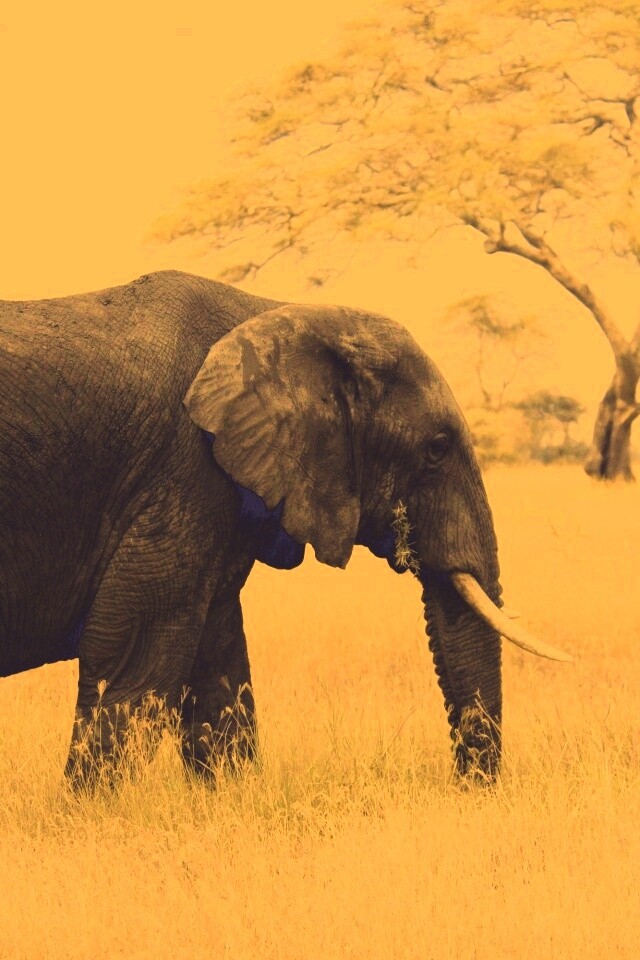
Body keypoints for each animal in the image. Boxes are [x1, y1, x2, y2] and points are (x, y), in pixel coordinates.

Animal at [0, 270, 570, 784]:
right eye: (436, 448)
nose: (466, 789)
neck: (280, 313)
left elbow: (218, 661)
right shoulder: (183, 470)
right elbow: (135, 656)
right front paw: (88, 810)